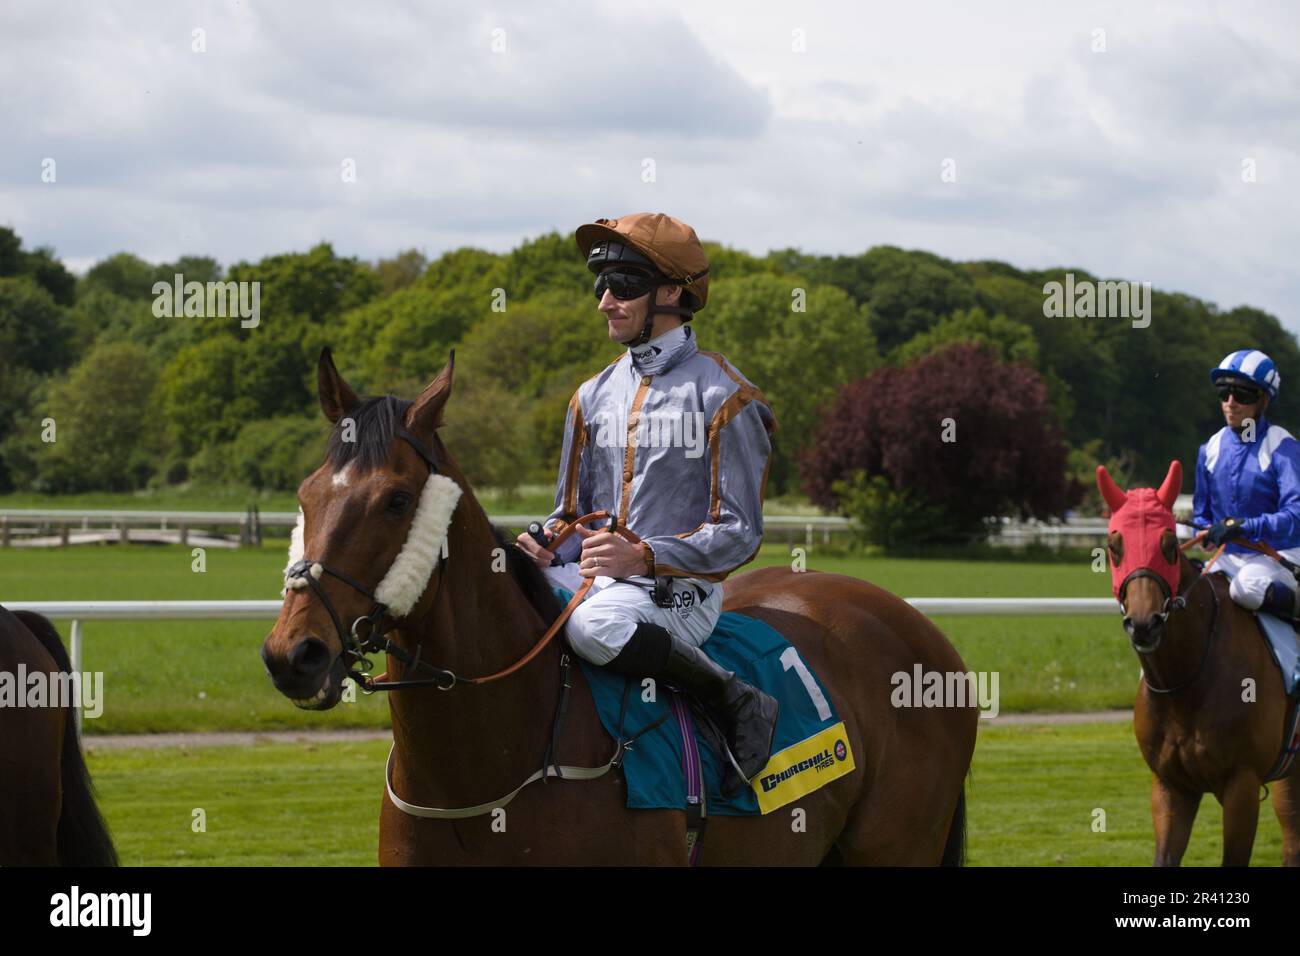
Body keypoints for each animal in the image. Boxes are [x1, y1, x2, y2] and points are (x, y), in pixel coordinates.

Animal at [1097, 463, 1300, 868]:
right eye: (1114, 546)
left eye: (1169, 546)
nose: (1144, 624)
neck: (1185, 684)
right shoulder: (1171, 786)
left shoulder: (1242, 784)